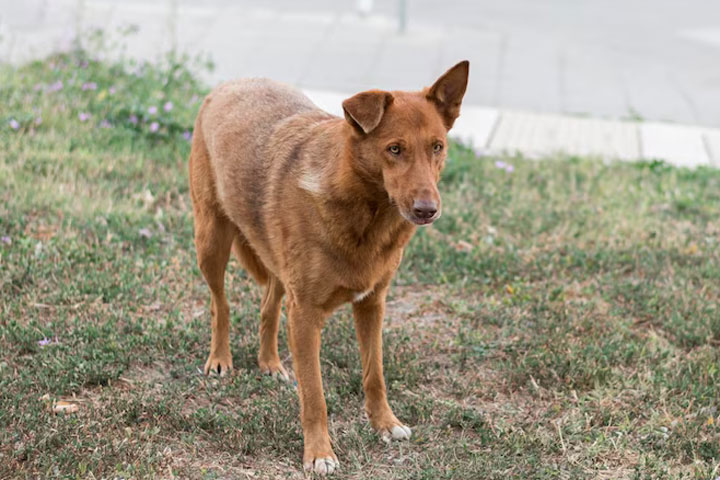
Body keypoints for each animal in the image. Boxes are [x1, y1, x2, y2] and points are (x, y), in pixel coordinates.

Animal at [188, 62, 470, 474]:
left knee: (269, 303)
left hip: (275, 263)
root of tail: (231, 83)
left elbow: (374, 375)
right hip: (210, 240)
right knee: (219, 303)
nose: (427, 210)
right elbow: (314, 395)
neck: (366, 213)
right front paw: (319, 453)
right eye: (394, 149)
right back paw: (220, 359)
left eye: (437, 147)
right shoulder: (305, 316)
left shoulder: (372, 305)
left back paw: (269, 362)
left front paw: (385, 424)